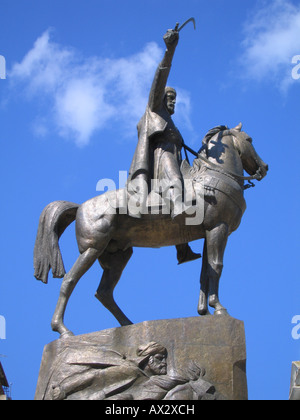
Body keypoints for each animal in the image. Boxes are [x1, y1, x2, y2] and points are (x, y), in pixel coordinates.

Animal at [34, 123, 268, 336]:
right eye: (249, 140)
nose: (264, 168)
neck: (214, 178)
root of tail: (80, 207)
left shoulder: (207, 233)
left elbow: (205, 271)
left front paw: (204, 311)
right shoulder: (219, 228)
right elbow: (216, 267)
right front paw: (219, 308)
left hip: (118, 255)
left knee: (104, 293)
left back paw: (128, 325)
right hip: (92, 249)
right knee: (69, 281)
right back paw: (63, 330)